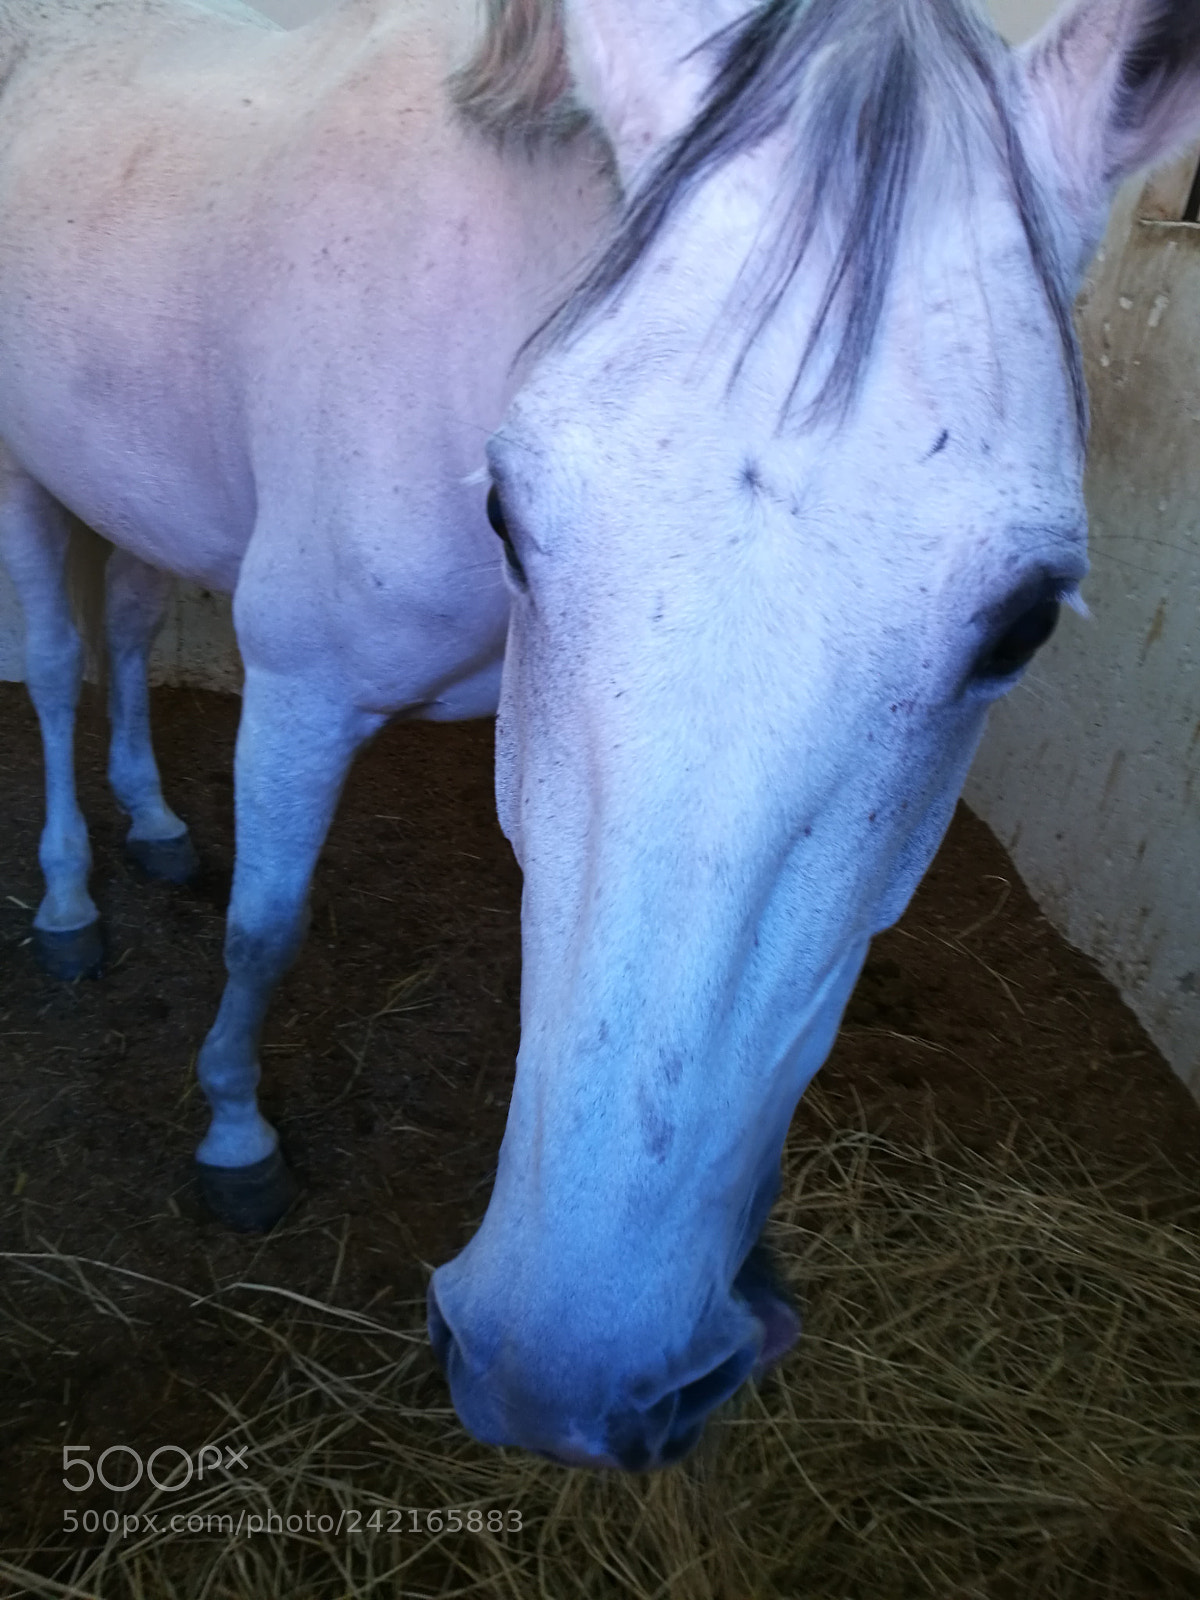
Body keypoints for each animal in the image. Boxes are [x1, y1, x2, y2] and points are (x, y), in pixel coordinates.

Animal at [2, 0, 1197, 1471]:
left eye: (1024, 623)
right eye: (507, 512)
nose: (567, 1373)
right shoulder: (298, 687)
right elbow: (264, 931)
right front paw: (234, 1132)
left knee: (120, 629)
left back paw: (158, 825)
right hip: (24, 476)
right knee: (56, 668)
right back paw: (68, 903)